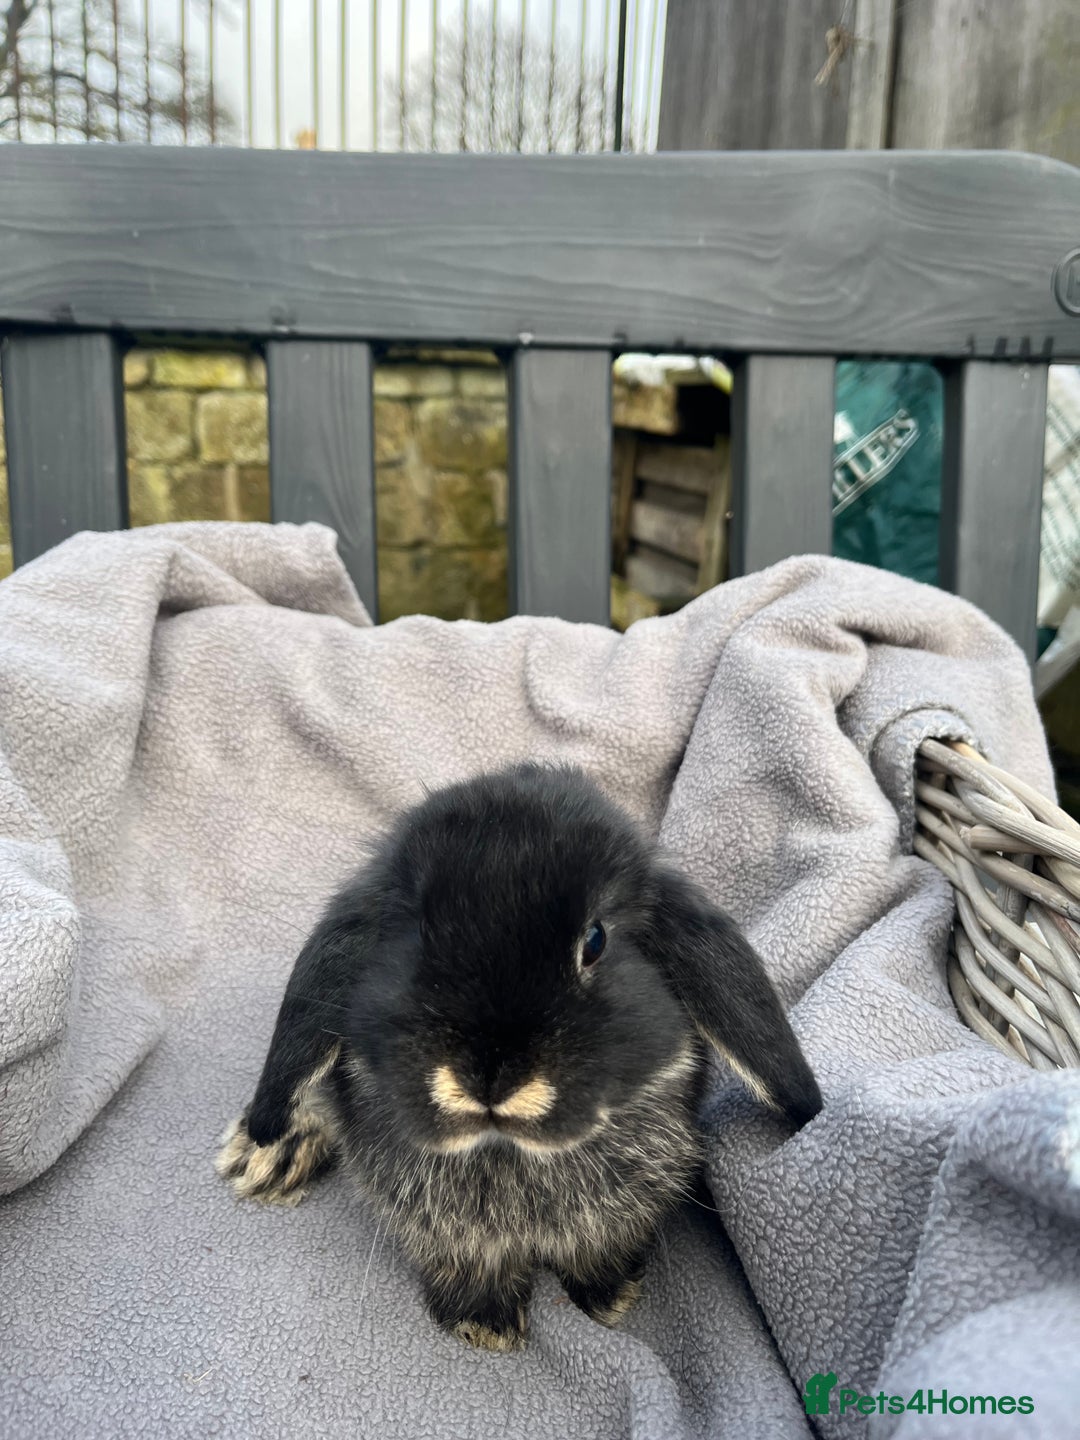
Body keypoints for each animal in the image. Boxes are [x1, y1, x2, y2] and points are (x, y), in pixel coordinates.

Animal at [216, 761, 822, 1352]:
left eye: (595, 941)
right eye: (416, 935)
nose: (490, 1078)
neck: (508, 1156)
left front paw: (606, 1295)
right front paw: (483, 1323)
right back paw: (264, 1152)